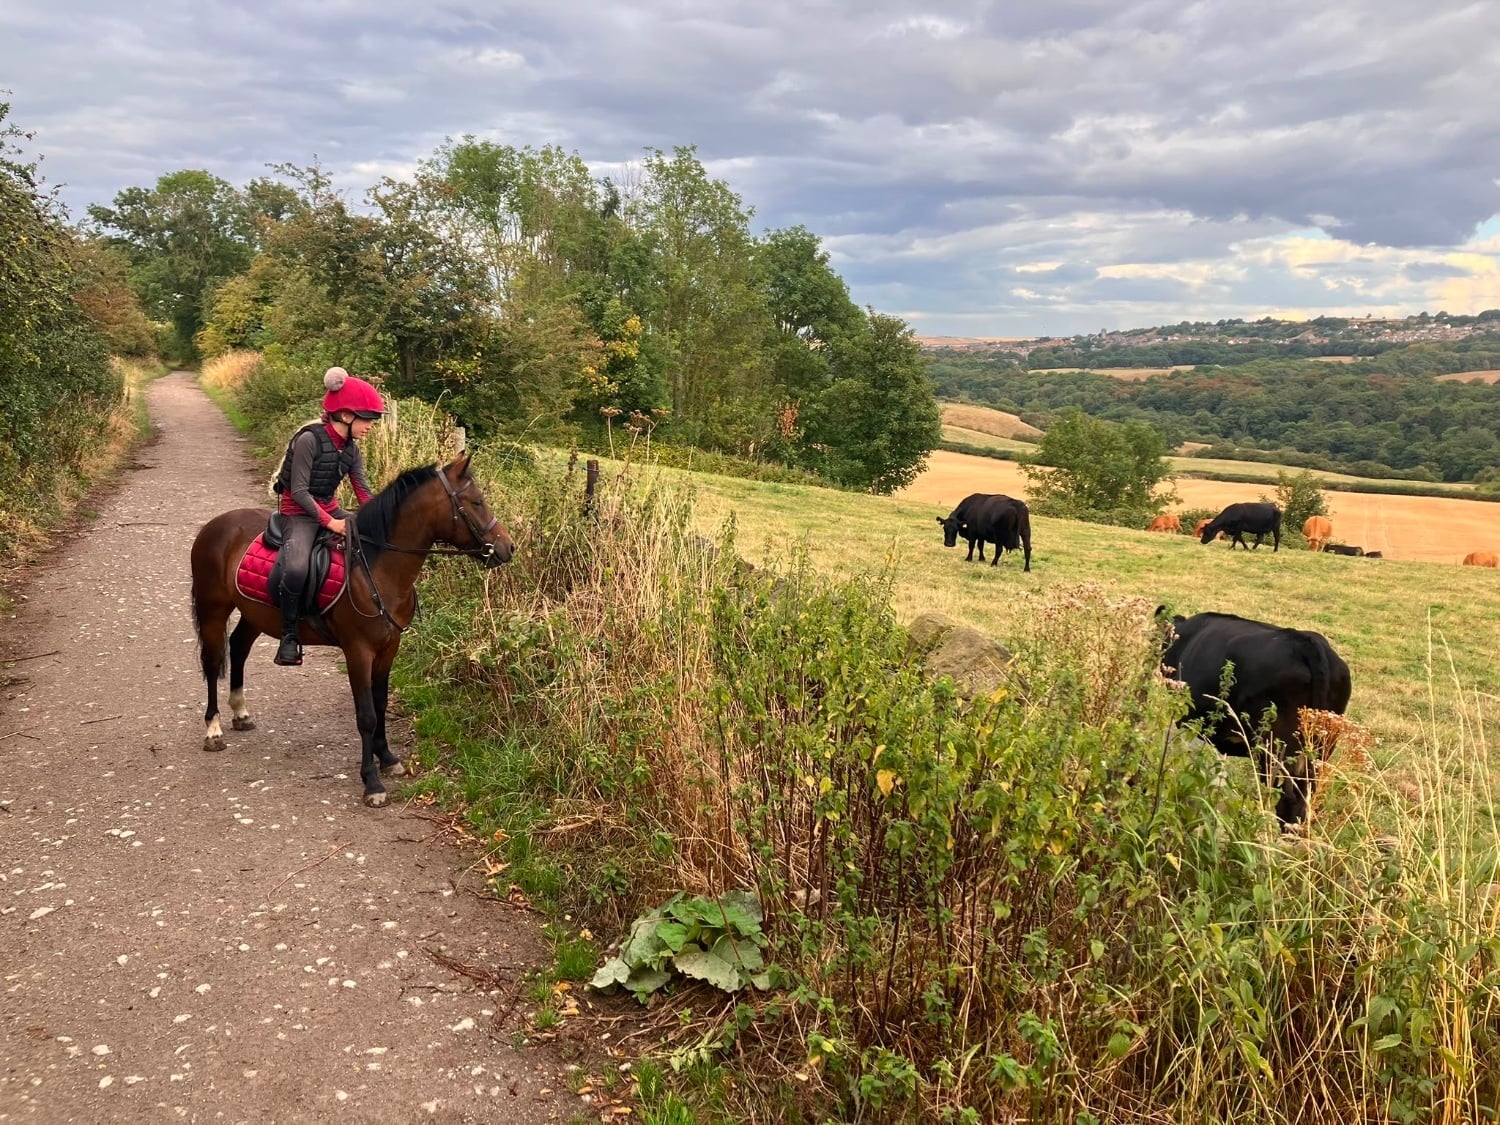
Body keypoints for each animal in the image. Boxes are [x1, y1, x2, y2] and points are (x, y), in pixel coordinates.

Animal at [189, 454, 513, 807]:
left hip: (254, 613)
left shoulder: (388, 649)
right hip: (213, 609)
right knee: (212, 661)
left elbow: (381, 702)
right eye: (476, 502)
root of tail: (215, 525)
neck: (377, 569)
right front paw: (371, 782)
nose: (507, 548)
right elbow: (366, 714)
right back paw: (213, 730)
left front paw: (387, 758)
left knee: (238, 647)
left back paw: (241, 713)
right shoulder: (358, 652)